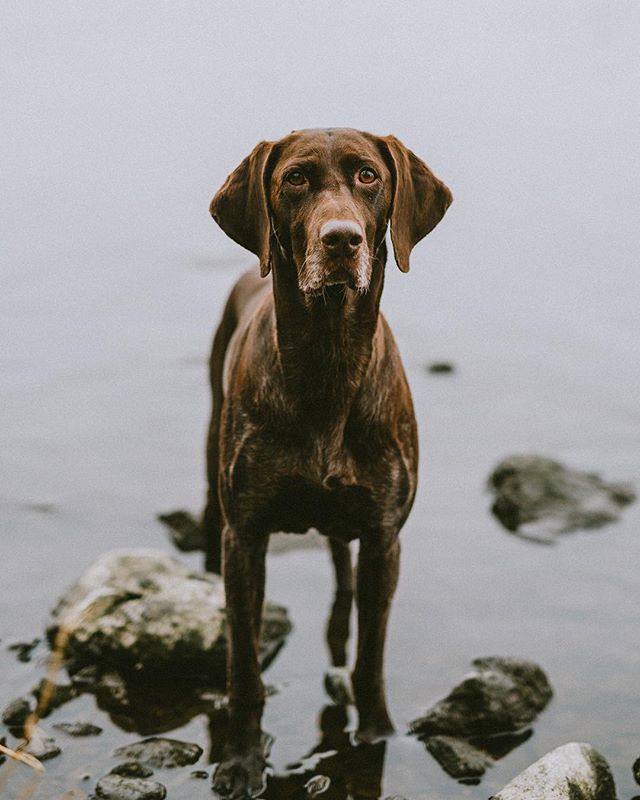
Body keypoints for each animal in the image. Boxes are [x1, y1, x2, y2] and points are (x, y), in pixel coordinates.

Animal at [204, 128, 450, 796]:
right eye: (295, 179)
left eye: (369, 176)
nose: (342, 239)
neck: (327, 360)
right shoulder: (245, 537)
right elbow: (245, 667)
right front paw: (242, 760)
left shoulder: (385, 537)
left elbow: (370, 657)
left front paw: (376, 736)